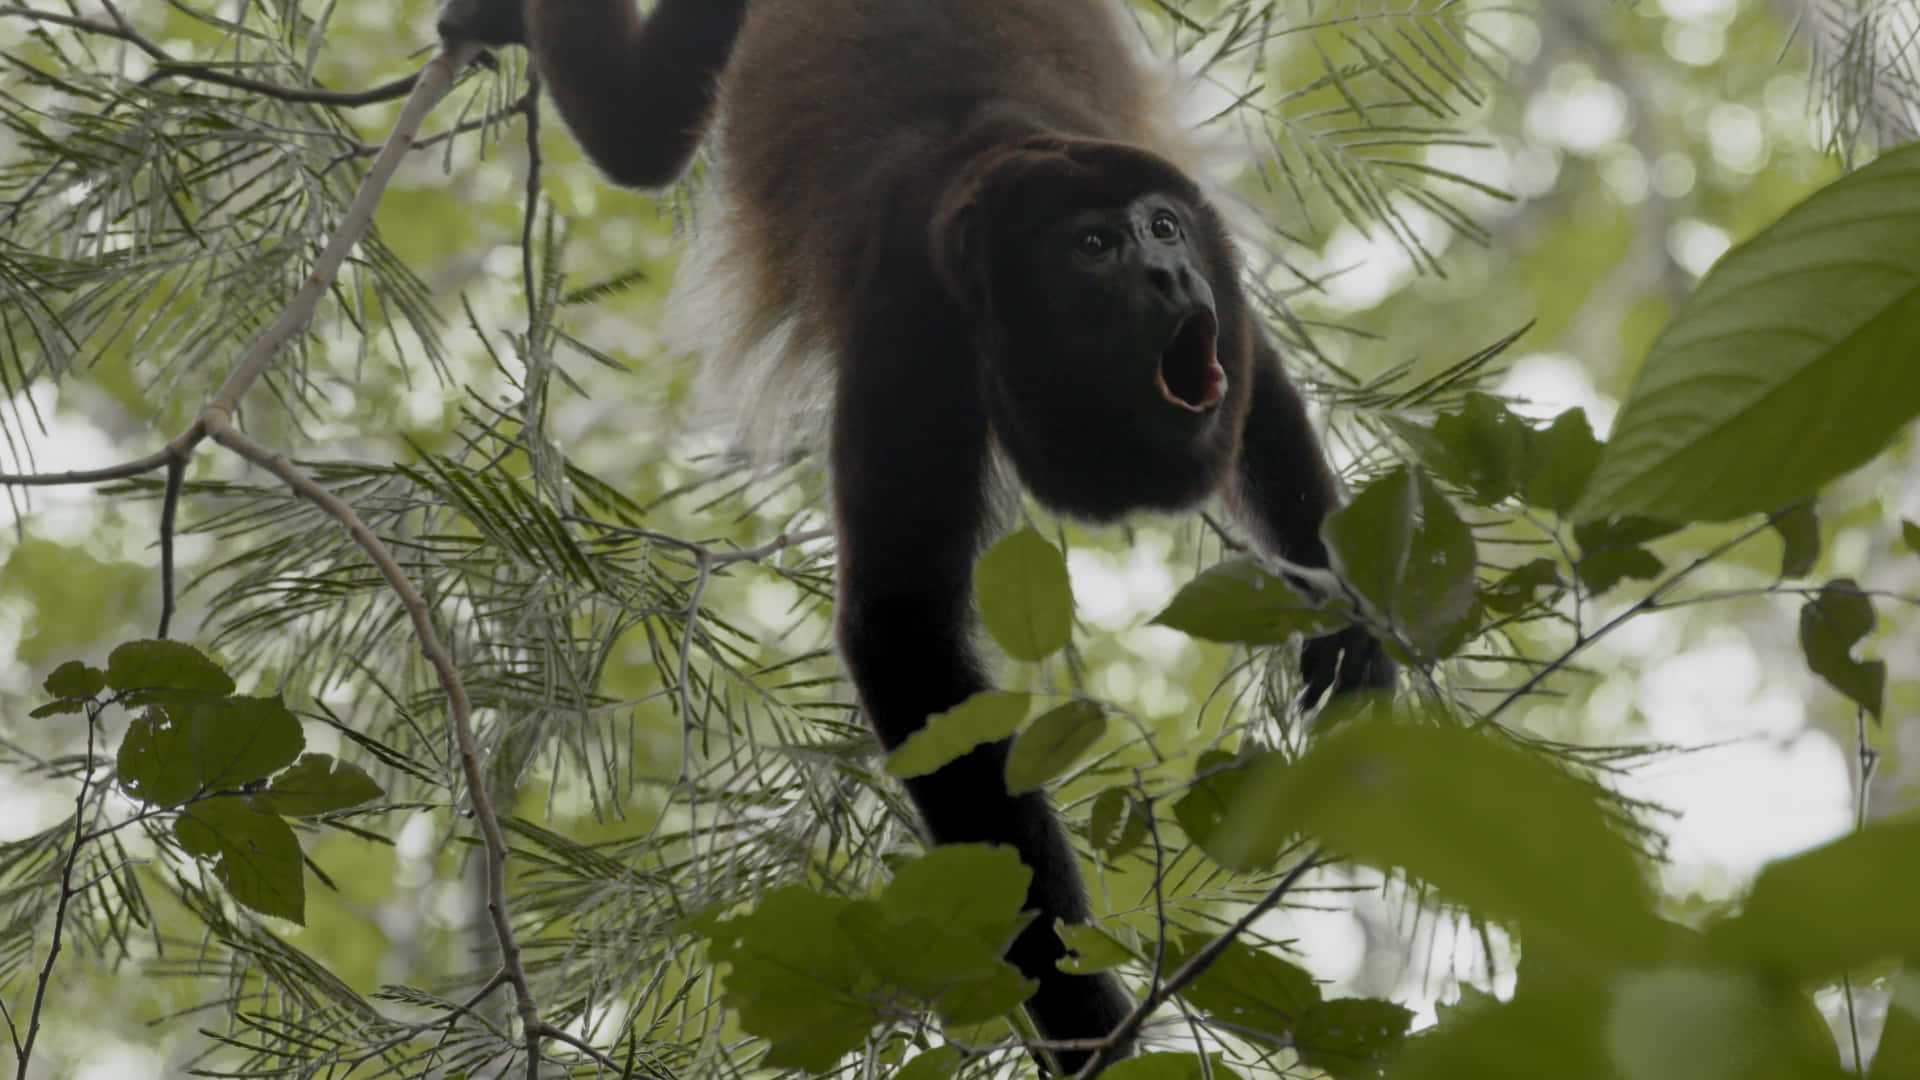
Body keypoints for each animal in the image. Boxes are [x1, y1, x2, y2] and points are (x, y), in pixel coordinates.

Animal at [439, 0, 1397, 1060]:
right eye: (1093, 247)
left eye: (1162, 224)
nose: (1167, 268)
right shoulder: (912, 324)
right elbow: (904, 632)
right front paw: (1084, 1018)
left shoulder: (1216, 311)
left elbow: (1261, 394)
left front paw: (1350, 626)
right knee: (638, 140)